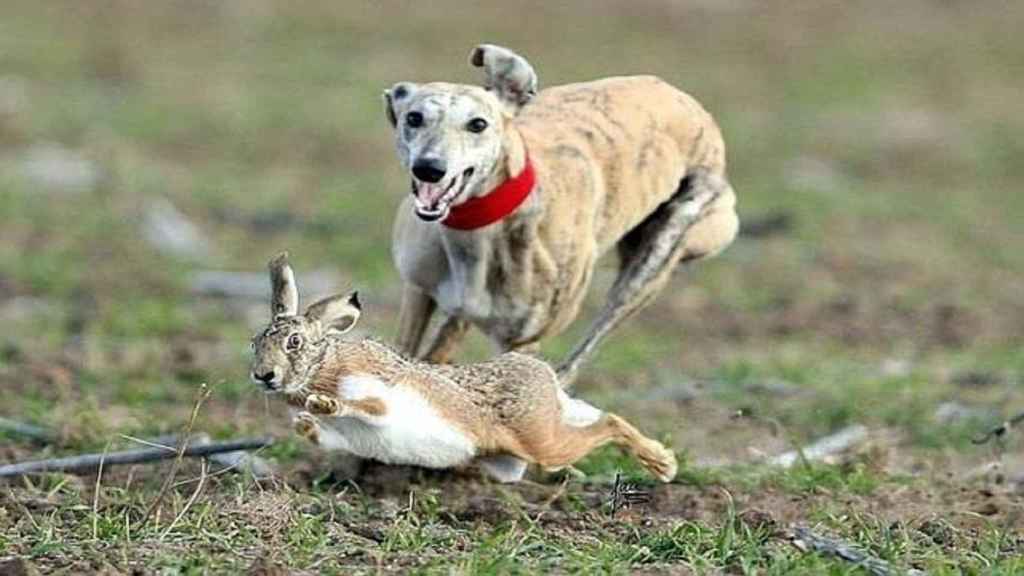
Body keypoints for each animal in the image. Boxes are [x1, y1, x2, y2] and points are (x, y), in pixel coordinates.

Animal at [385, 44, 737, 383]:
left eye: (478, 124)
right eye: (413, 118)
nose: (429, 169)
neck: (477, 230)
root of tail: (690, 104)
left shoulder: (522, 342)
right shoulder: (418, 291)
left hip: (656, 259)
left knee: (578, 358)